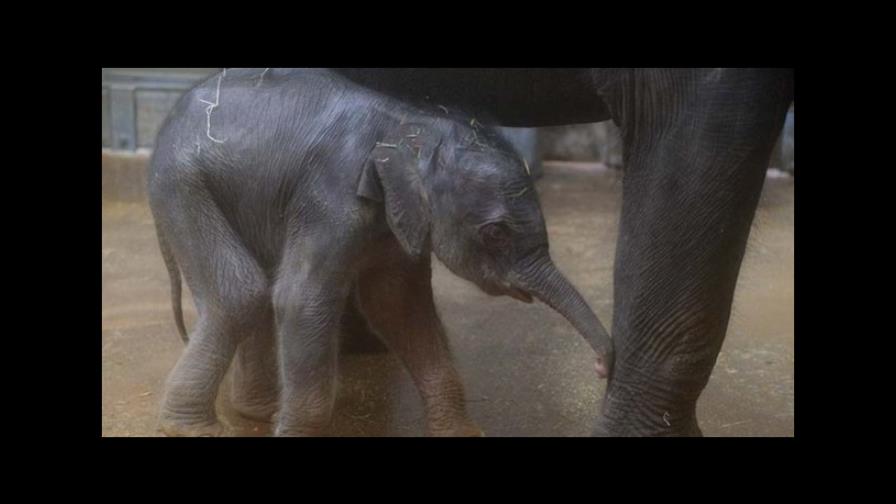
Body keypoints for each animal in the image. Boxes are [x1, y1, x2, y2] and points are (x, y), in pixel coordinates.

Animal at [148, 68, 613, 437]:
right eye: (496, 233)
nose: (602, 367)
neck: (414, 126)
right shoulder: (331, 197)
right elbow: (303, 300)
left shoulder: (397, 222)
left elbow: (400, 306)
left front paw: (464, 434)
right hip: (183, 185)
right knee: (241, 293)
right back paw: (196, 430)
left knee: (256, 294)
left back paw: (259, 412)